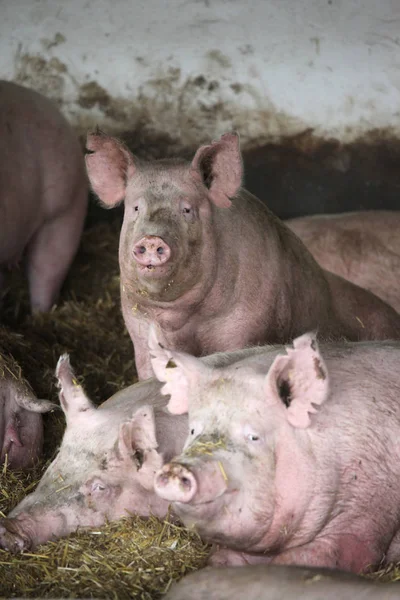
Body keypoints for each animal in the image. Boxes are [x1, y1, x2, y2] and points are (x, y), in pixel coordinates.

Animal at [86, 131, 400, 380]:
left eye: (187, 209)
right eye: (136, 208)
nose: (152, 239)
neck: (181, 319)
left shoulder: (246, 328)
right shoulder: (139, 331)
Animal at [153, 330, 400, 576]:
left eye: (254, 436)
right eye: (193, 430)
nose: (178, 468)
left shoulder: (368, 508)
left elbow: (339, 551)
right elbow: (221, 558)